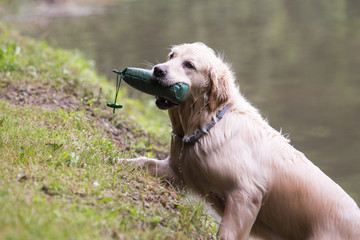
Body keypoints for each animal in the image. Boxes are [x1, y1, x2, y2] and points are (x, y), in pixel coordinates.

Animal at [124, 42, 360, 239]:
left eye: (189, 65)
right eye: (171, 56)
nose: (158, 70)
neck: (209, 123)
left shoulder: (246, 194)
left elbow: (227, 232)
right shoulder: (179, 172)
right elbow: (143, 162)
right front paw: (120, 163)